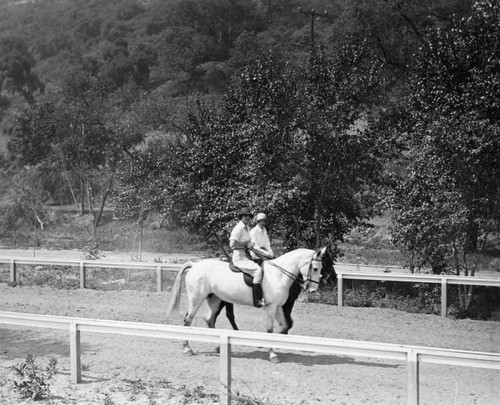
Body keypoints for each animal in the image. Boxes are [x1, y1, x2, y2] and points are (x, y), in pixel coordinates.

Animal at [166, 246, 326, 362]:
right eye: (315, 268)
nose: (313, 290)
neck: (279, 275)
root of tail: (194, 265)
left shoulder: (278, 306)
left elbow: (285, 325)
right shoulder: (271, 307)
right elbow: (270, 330)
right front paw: (272, 354)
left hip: (215, 300)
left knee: (210, 319)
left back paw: (218, 346)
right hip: (196, 299)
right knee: (188, 320)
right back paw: (187, 349)